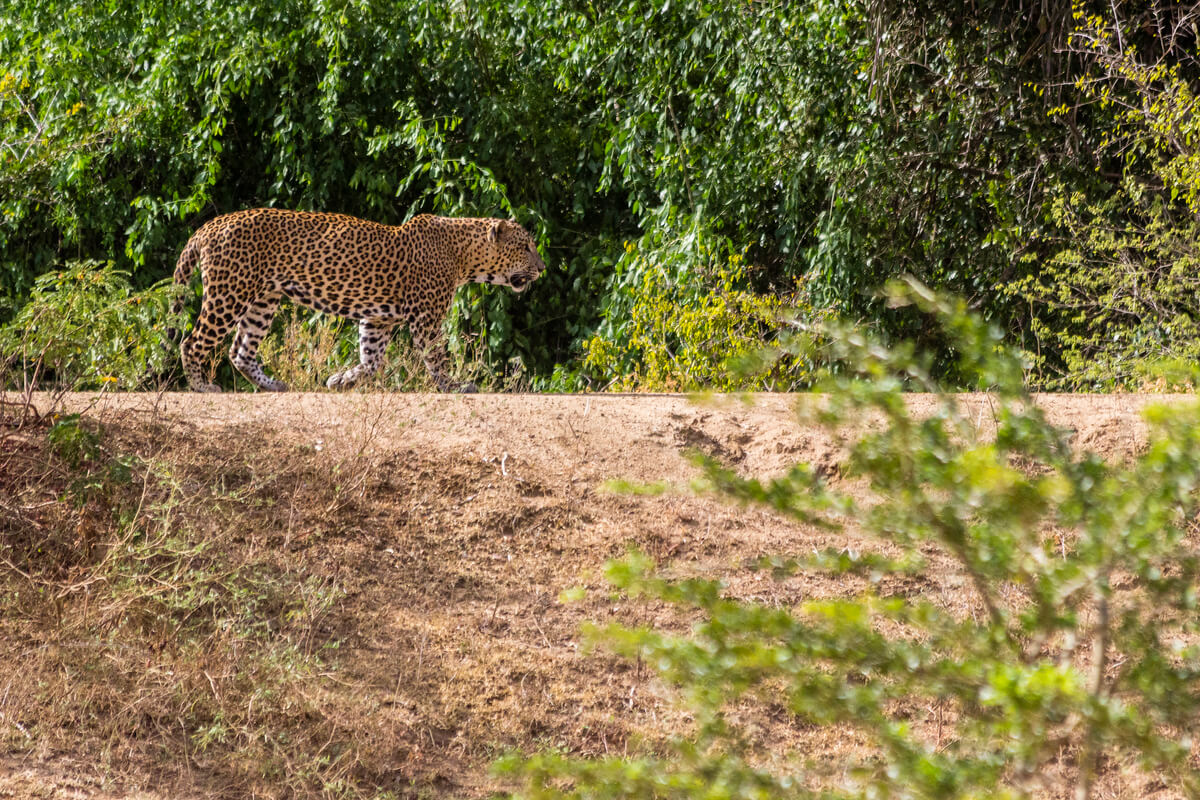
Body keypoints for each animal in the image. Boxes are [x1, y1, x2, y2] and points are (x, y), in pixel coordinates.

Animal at [172, 208, 545, 393]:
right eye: (525, 246)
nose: (542, 268)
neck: (464, 255)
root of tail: (209, 225)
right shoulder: (426, 318)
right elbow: (436, 357)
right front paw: (454, 386)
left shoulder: (379, 319)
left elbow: (371, 360)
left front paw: (341, 380)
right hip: (229, 293)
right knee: (192, 342)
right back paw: (202, 387)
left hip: (264, 299)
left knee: (240, 351)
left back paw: (272, 385)